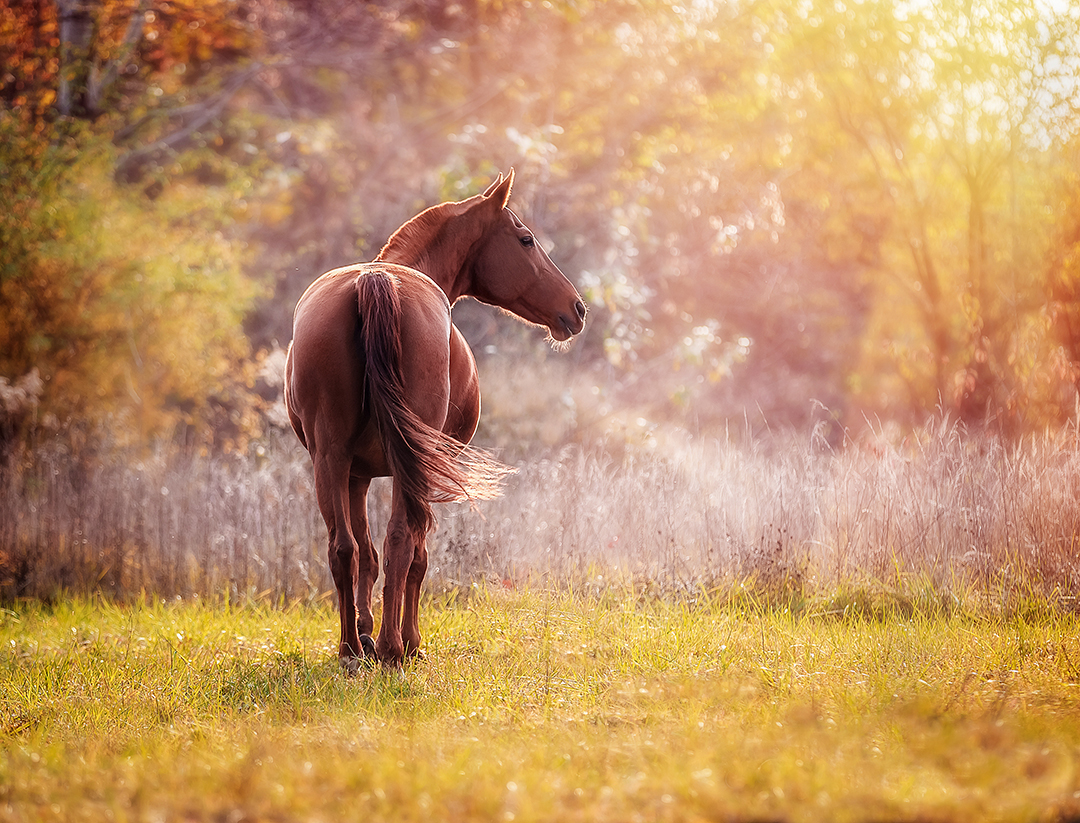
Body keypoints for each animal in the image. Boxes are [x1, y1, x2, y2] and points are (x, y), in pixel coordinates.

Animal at [282, 169, 587, 665]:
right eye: (525, 239)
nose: (577, 308)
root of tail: (375, 281)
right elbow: (417, 553)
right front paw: (407, 640)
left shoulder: (356, 474)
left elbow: (364, 554)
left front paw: (365, 630)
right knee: (402, 543)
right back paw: (394, 647)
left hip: (330, 459)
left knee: (345, 548)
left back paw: (351, 649)